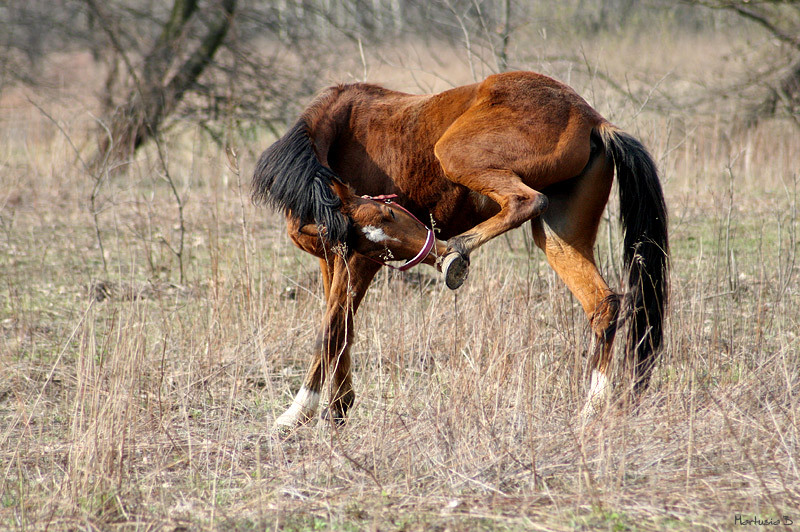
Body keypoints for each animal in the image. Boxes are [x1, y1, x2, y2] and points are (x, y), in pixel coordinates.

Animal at [253, 70, 664, 430]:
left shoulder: (357, 262)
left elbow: (333, 328)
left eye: (391, 212)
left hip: (454, 154)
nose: (431, 253)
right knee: (603, 304)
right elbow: (341, 328)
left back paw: (456, 251)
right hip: (562, 236)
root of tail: (593, 119)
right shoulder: (336, 256)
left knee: (526, 201)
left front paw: (297, 413)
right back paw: (592, 407)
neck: (336, 134)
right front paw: (337, 406)